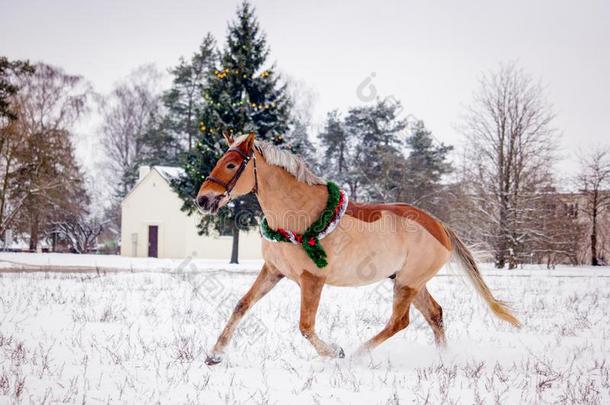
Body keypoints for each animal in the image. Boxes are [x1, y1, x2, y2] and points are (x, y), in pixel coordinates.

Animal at [196, 131, 516, 364]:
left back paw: (357, 354)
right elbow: (241, 305)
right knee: (435, 314)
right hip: (412, 282)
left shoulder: (312, 280)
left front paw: (334, 351)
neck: (299, 215)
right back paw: (443, 359)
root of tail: (440, 226)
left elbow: (305, 326)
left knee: (399, 321)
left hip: (407, 283)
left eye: (231, 165)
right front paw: (214, 354)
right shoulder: (273, 271)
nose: (203, 199)